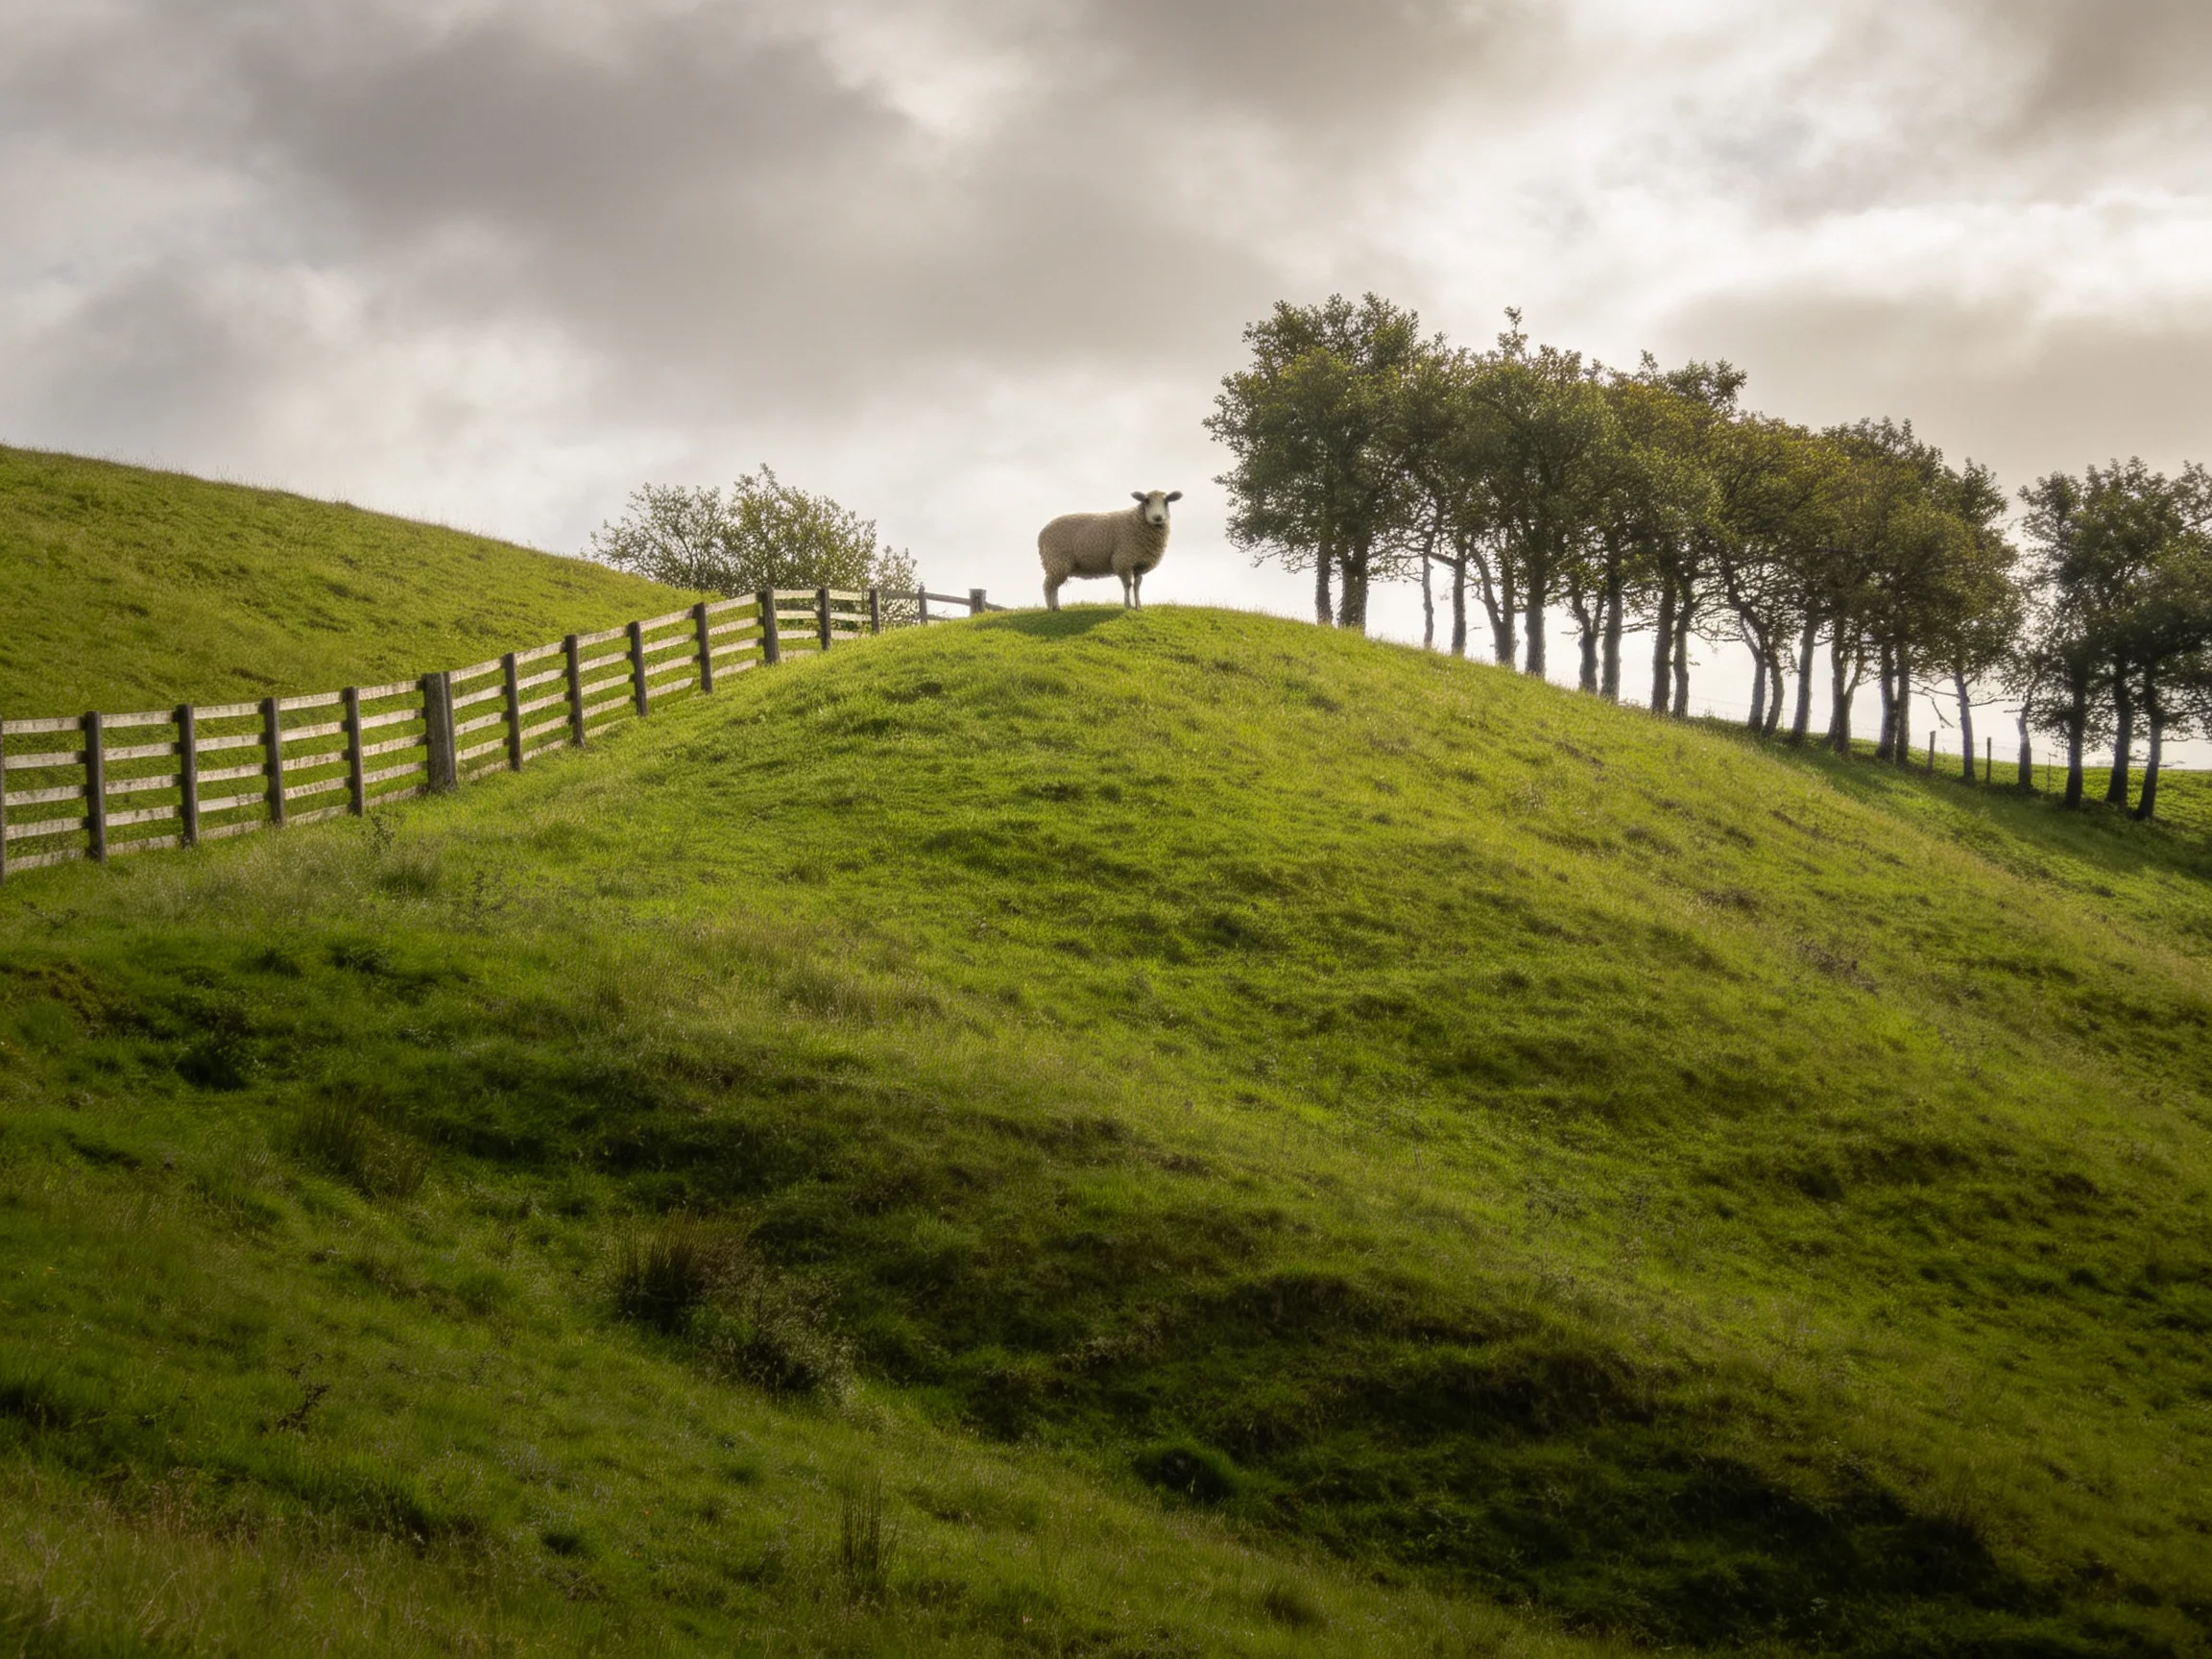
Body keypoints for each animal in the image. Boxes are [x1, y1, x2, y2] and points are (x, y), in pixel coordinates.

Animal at [1037, 490, 1181, 611]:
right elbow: (1128, 585)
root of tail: (1042, 534)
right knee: (1048, 586)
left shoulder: (1139, 565)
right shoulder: (1123, 560)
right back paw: (1050, 609)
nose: (1158, 517)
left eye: (1166, 501)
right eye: (1146, 500)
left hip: (1057, 564)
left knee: (1055, 585)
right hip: (1056, 559)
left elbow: (1137, 586)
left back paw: (1057, 607)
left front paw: (1138, 607)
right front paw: (1128, 606)